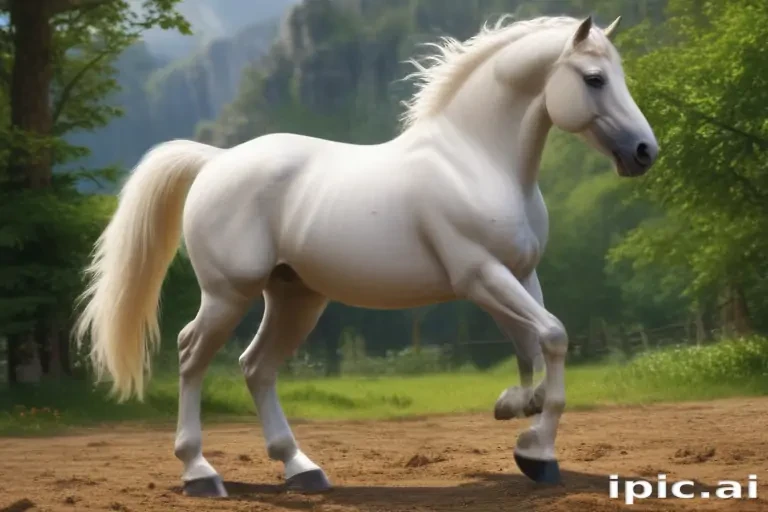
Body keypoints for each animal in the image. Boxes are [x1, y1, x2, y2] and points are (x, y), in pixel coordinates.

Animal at [74, 14, 658, 497]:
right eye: (594, 79)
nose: (644, 152)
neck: (475, 161)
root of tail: (214, 162)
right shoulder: (480, 274)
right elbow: (553, 337)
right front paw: (538, 454)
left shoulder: (520, 274)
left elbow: (532, 348)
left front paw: (517, 417)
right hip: (228, 293)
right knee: (192, 355)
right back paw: (200, 473)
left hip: (295, 297)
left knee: (256, 367)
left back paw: (302, 470)